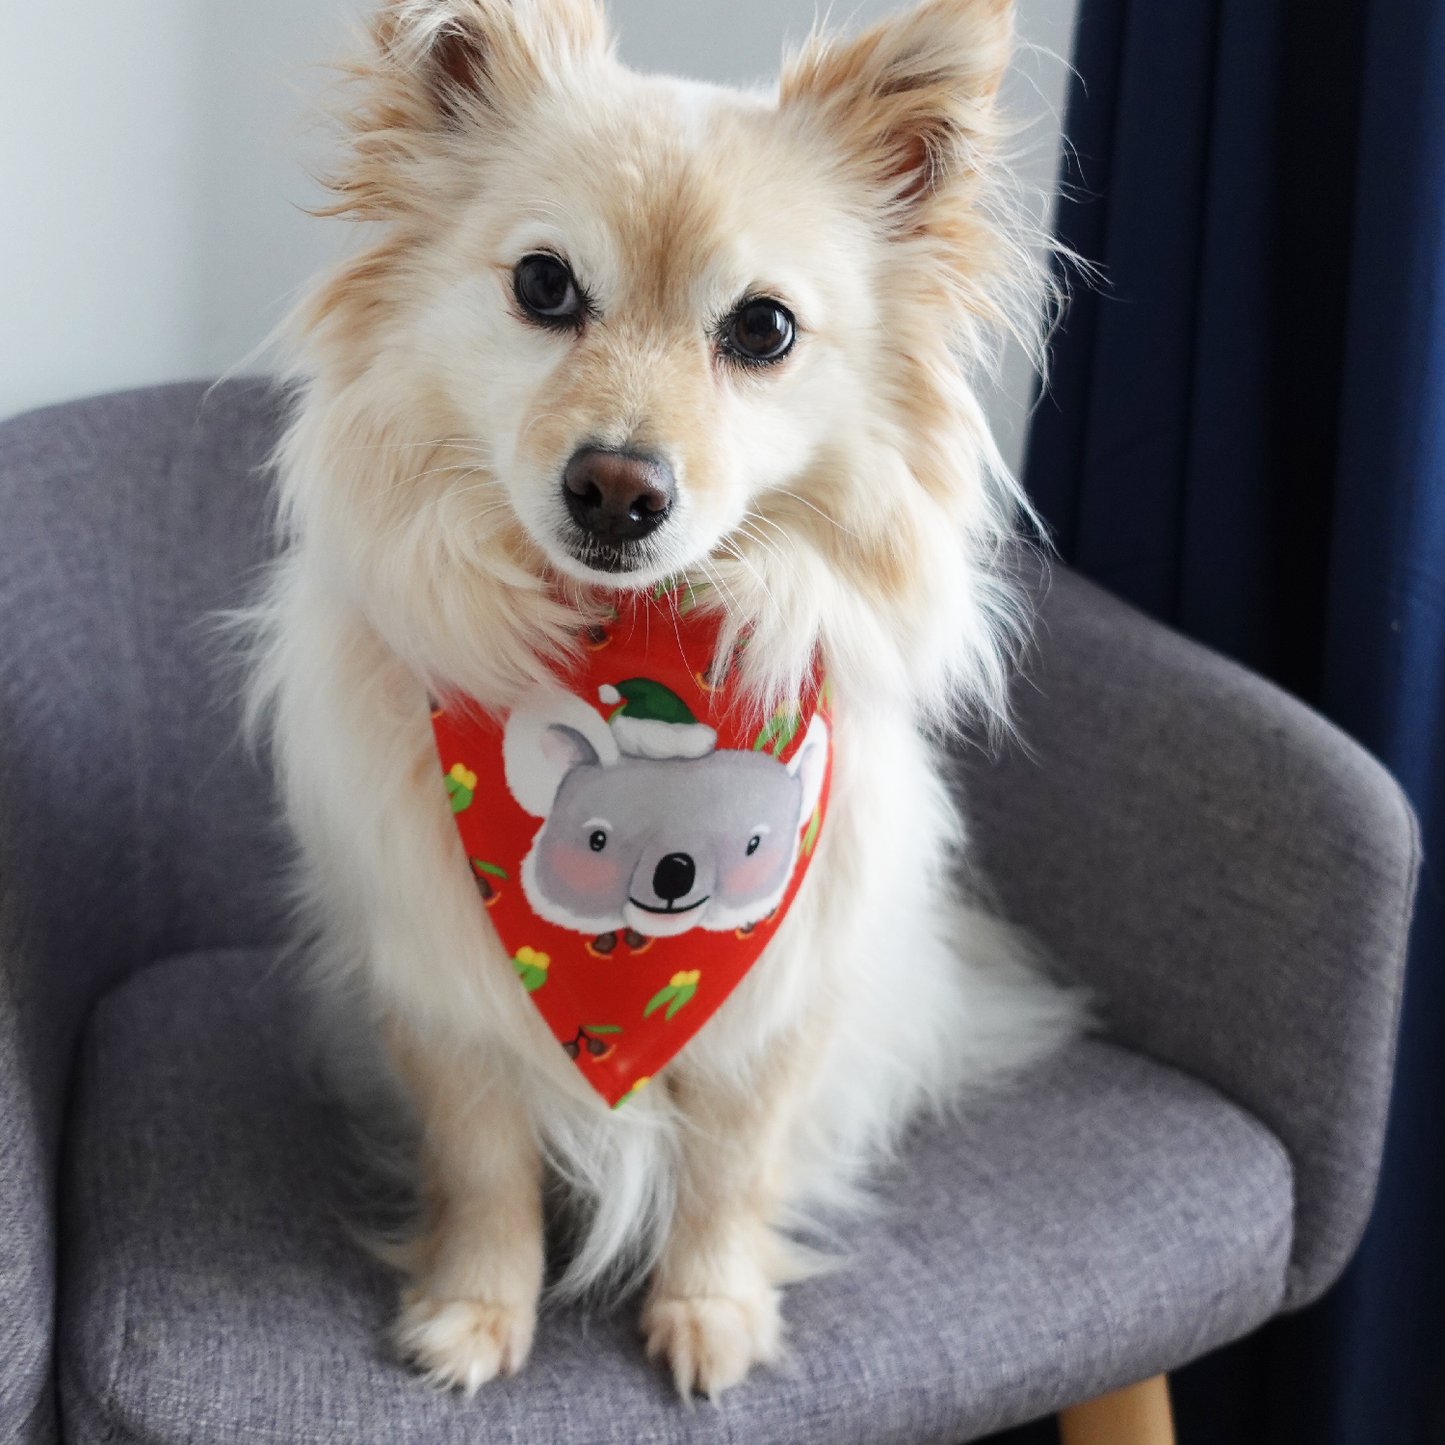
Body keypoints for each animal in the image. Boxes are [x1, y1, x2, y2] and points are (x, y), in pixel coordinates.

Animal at [251, 0, 1086, 1404]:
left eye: (762, 330)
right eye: (543, 286)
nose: (617, 486)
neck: (635, 661)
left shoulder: (779, 1007)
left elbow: (730, 1173)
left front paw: (711, 1306)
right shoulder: (443, 1003)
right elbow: (483, 1170)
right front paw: (474, 1309)